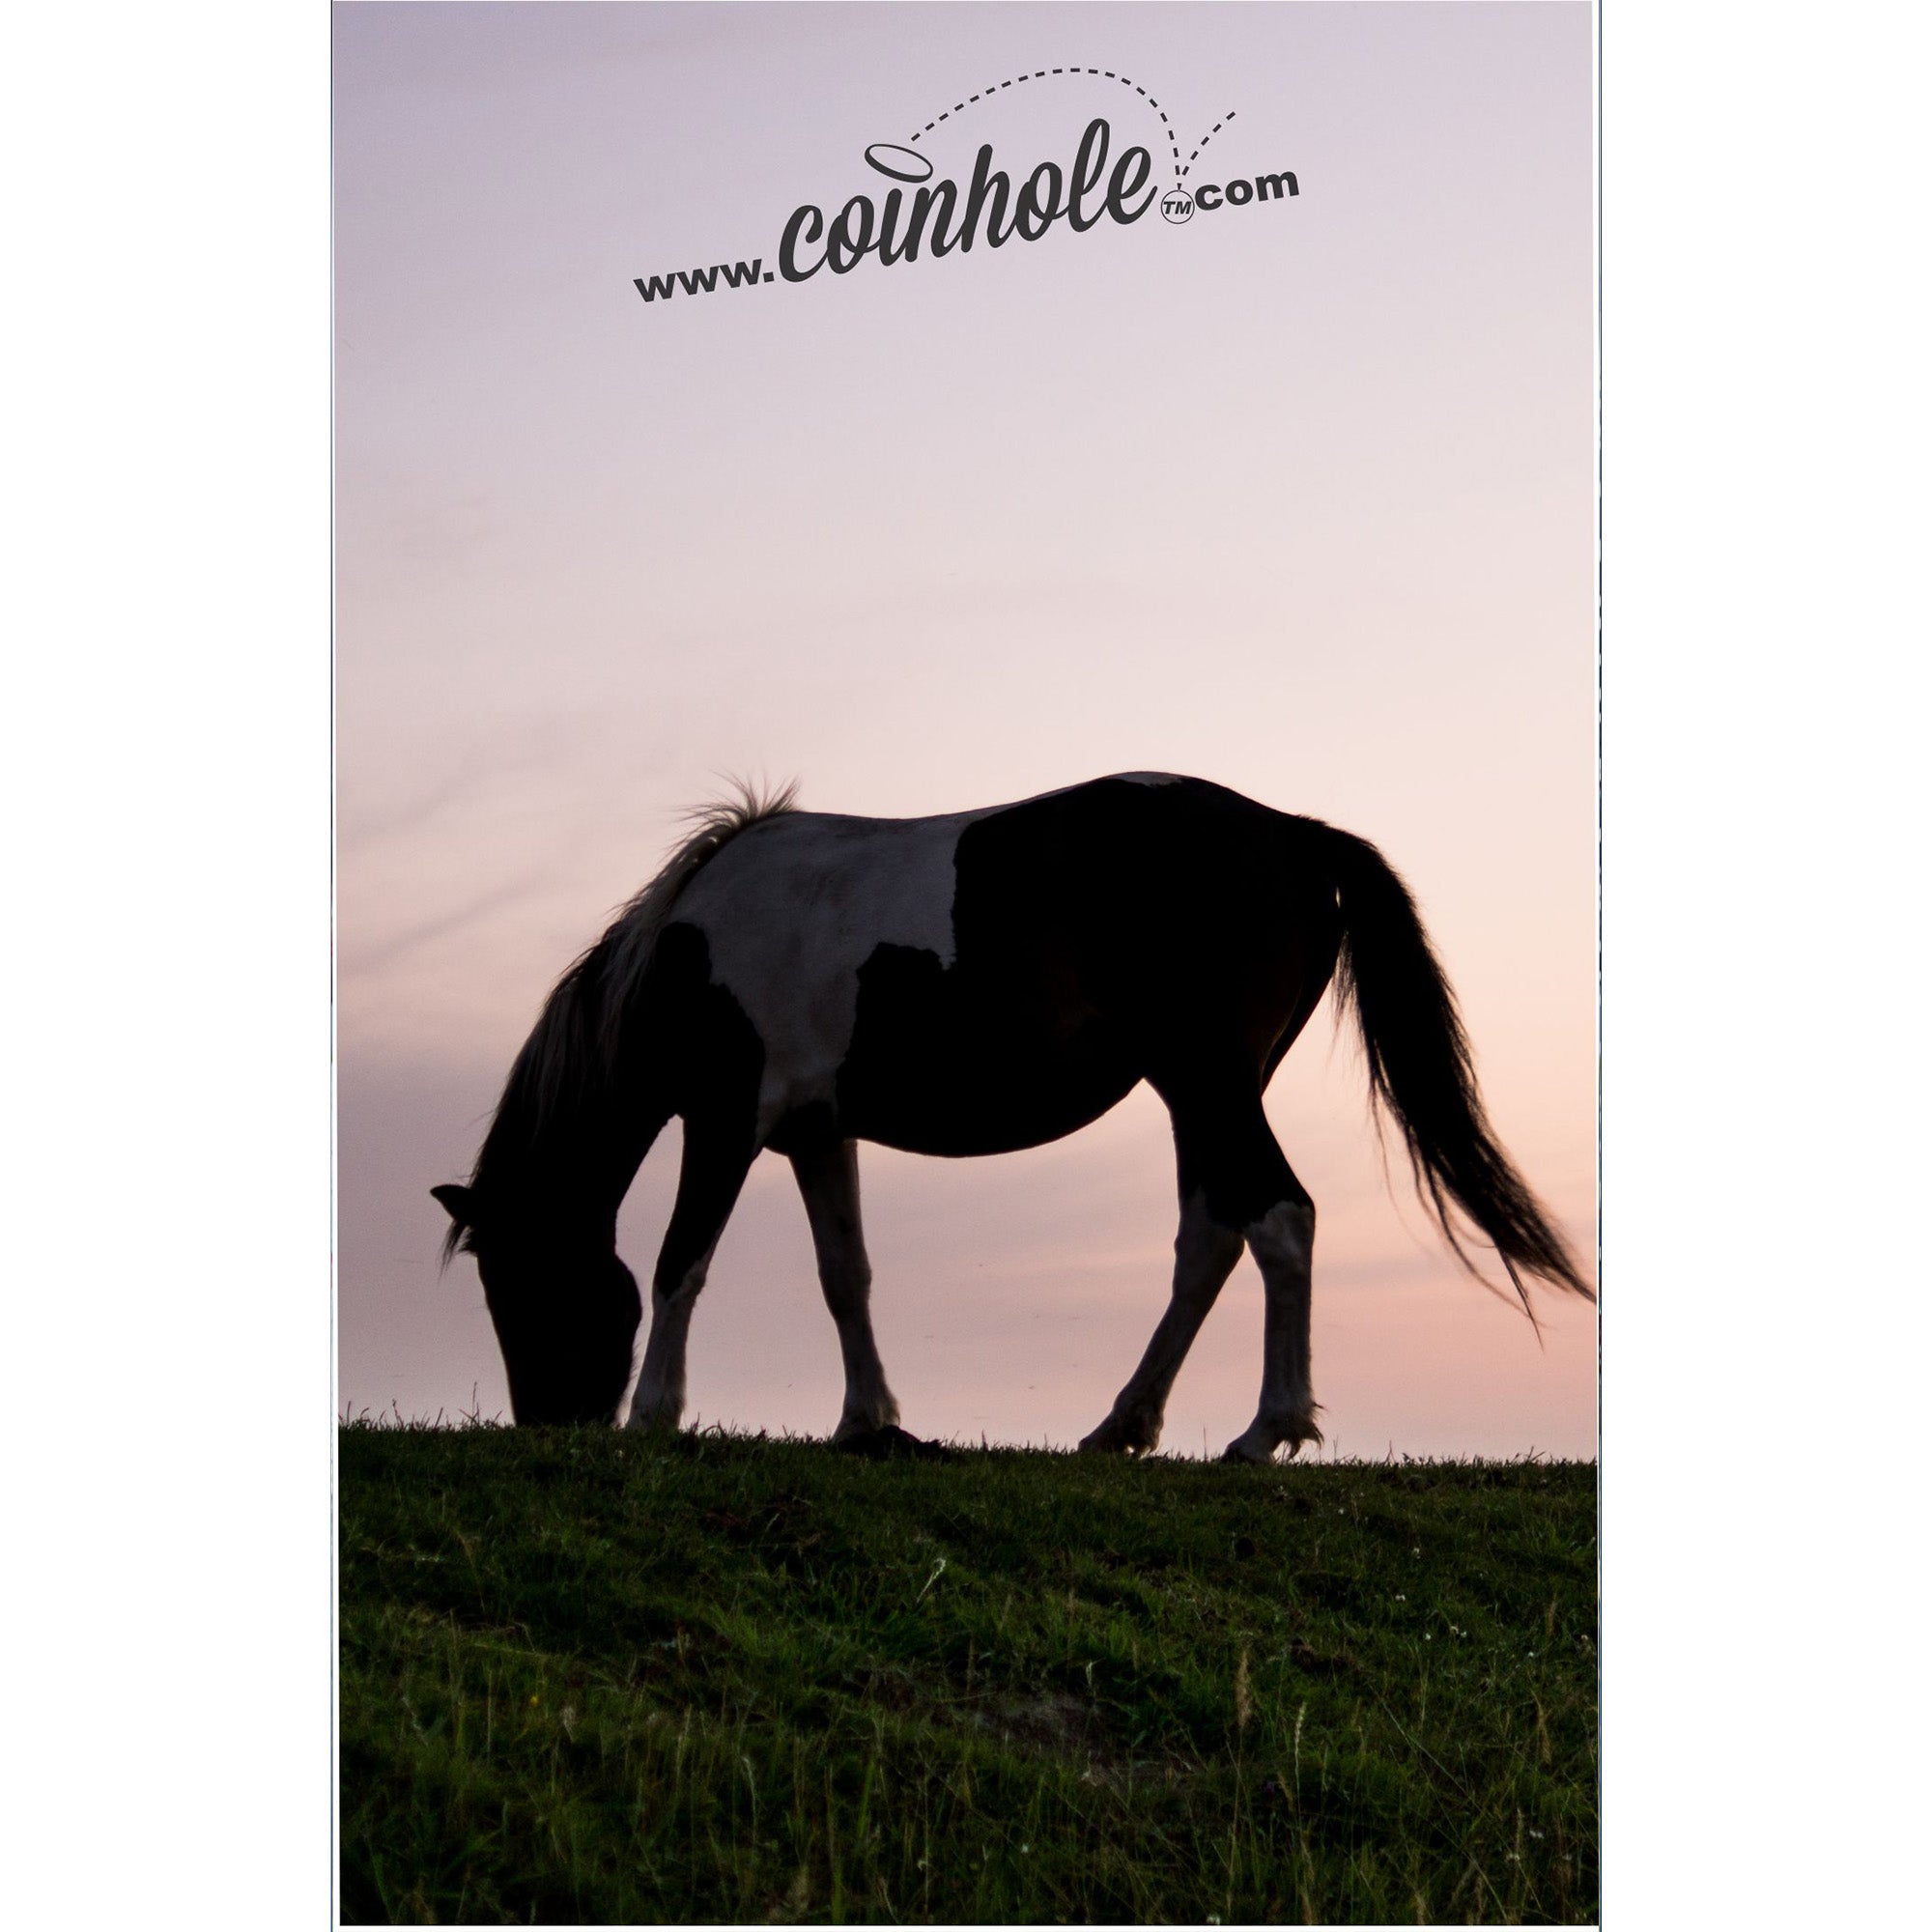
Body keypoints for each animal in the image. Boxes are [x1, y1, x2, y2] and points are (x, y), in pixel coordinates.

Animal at [432, 772, 1591, 1460]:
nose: (550, 1422)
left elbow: (683, 1260)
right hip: (1196, 1093)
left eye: (516, 1283)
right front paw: (868, 1422)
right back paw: (1123, 1425)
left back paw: (1267, 1430)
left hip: (1211, 1082)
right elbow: (844, 1274)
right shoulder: (815, 1131)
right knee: (1212, 1234)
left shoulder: (727, 1119)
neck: (688, 951)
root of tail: (1296, 836)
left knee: (1278, 1219)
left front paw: (653, 1415)